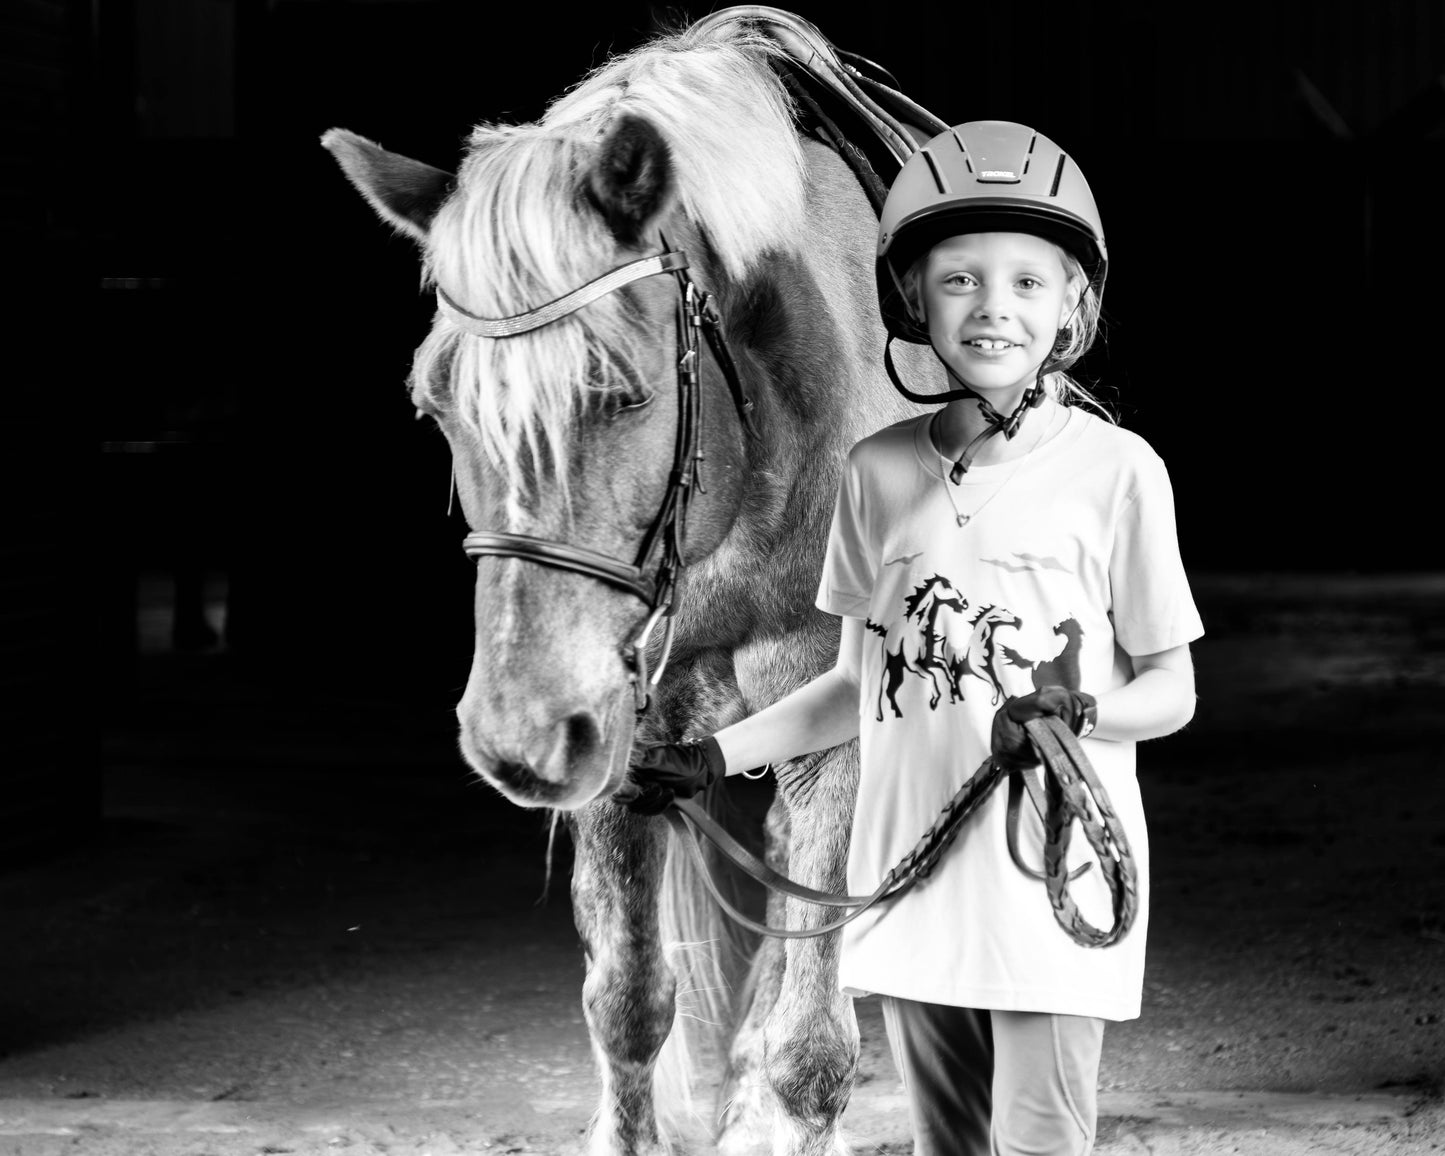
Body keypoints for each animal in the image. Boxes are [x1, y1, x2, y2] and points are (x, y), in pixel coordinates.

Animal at [322, 15, 936, 1156]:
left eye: (621, 390)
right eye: (433, 404)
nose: (516, 737)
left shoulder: (833, 738)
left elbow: (811, 1046)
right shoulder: (620, 734)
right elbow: (628, 1003)